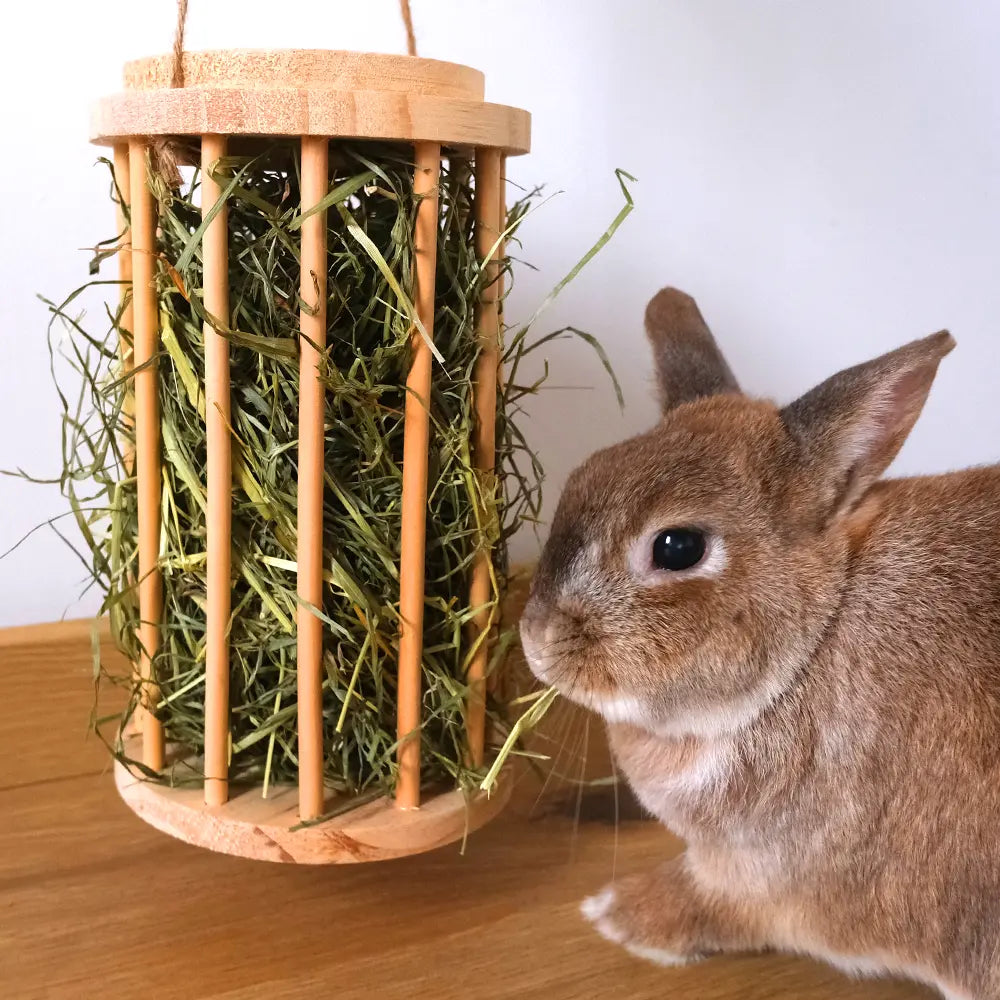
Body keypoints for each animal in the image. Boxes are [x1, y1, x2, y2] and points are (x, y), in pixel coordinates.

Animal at [519, 287, 1000, 1000]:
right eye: (580, 477)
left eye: (677, 547)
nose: (535, 639)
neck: (810, 648)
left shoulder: (767, 880)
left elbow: (706, 902)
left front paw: (617, 914)